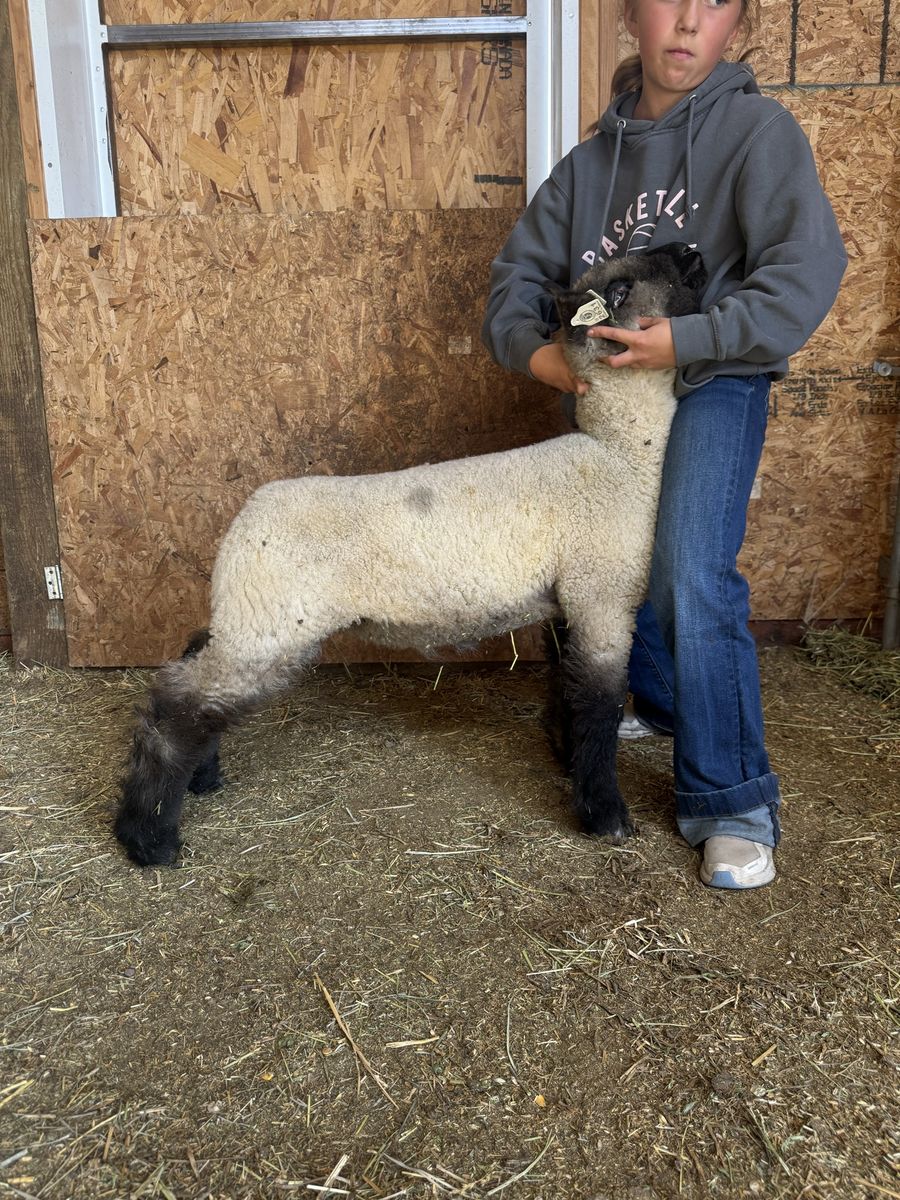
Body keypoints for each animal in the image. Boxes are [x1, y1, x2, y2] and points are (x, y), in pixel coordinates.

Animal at [114, 241, 707, 867]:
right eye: (618, 290)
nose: (691, 250)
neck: (621, 453)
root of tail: (242, 524)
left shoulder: (568, 599)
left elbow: (566, 689)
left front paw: (567, 760)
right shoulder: (602, 594)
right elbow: (597, 703)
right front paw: (605, 815)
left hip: (253, 617)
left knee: (193, 668)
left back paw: (199, 780)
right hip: (270, 625)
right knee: (176, 709)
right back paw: (148, 837)